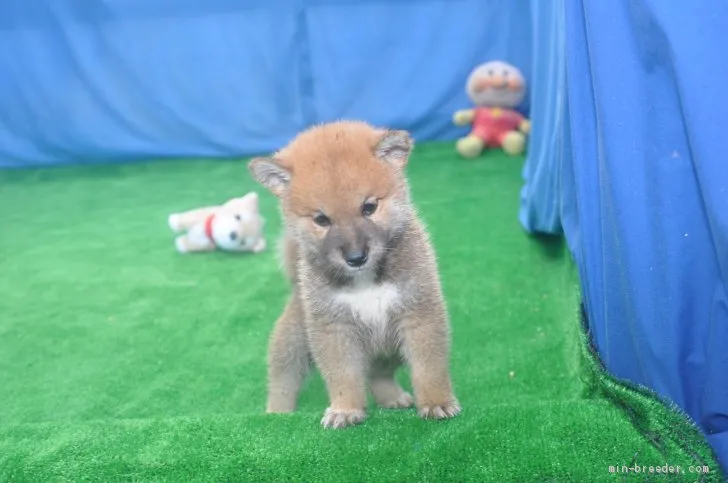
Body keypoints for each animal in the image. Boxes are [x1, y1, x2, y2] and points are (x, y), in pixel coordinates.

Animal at [247, 120, 458, 428]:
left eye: (369, 207)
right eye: (321, 219)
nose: (356, 258)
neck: (366, 282)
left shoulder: (419, 315)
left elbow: (429, 367)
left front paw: (436, 401)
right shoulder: (333, 328)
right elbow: (343, 376)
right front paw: (345, 409)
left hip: (388, 348)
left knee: (378, 375)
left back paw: (393, 397)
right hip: (294, 341)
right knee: (283, 382)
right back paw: (276, 413)